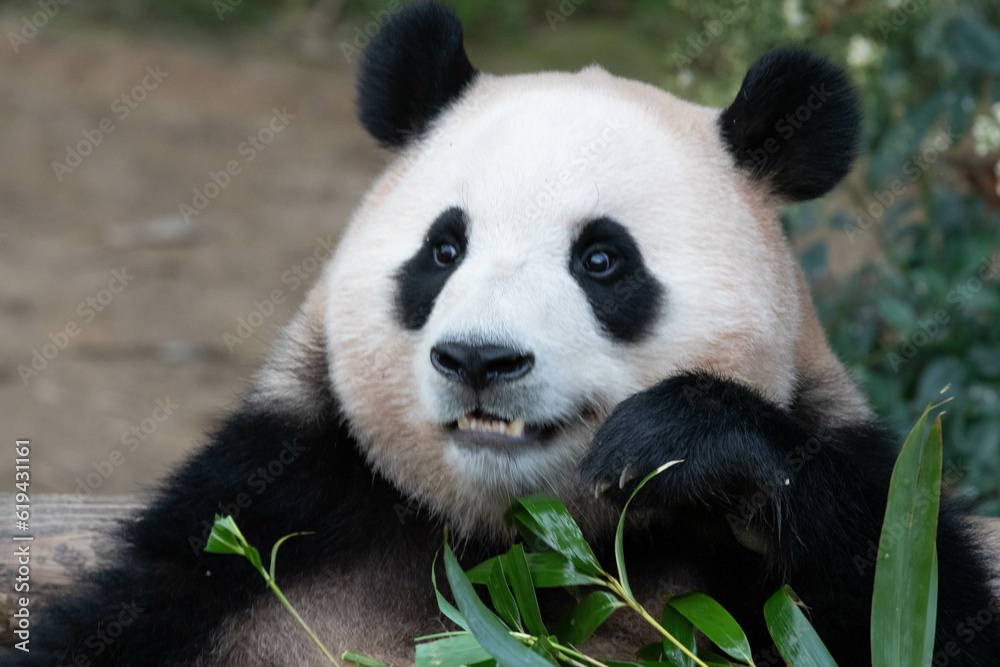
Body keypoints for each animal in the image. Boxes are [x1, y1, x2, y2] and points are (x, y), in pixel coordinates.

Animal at [9, 5, 1000, 667]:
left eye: (602, 259)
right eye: (444, 248)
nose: (480, 358)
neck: (509, 543)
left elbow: (907, 591)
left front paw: (684, 440)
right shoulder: (260, 526)